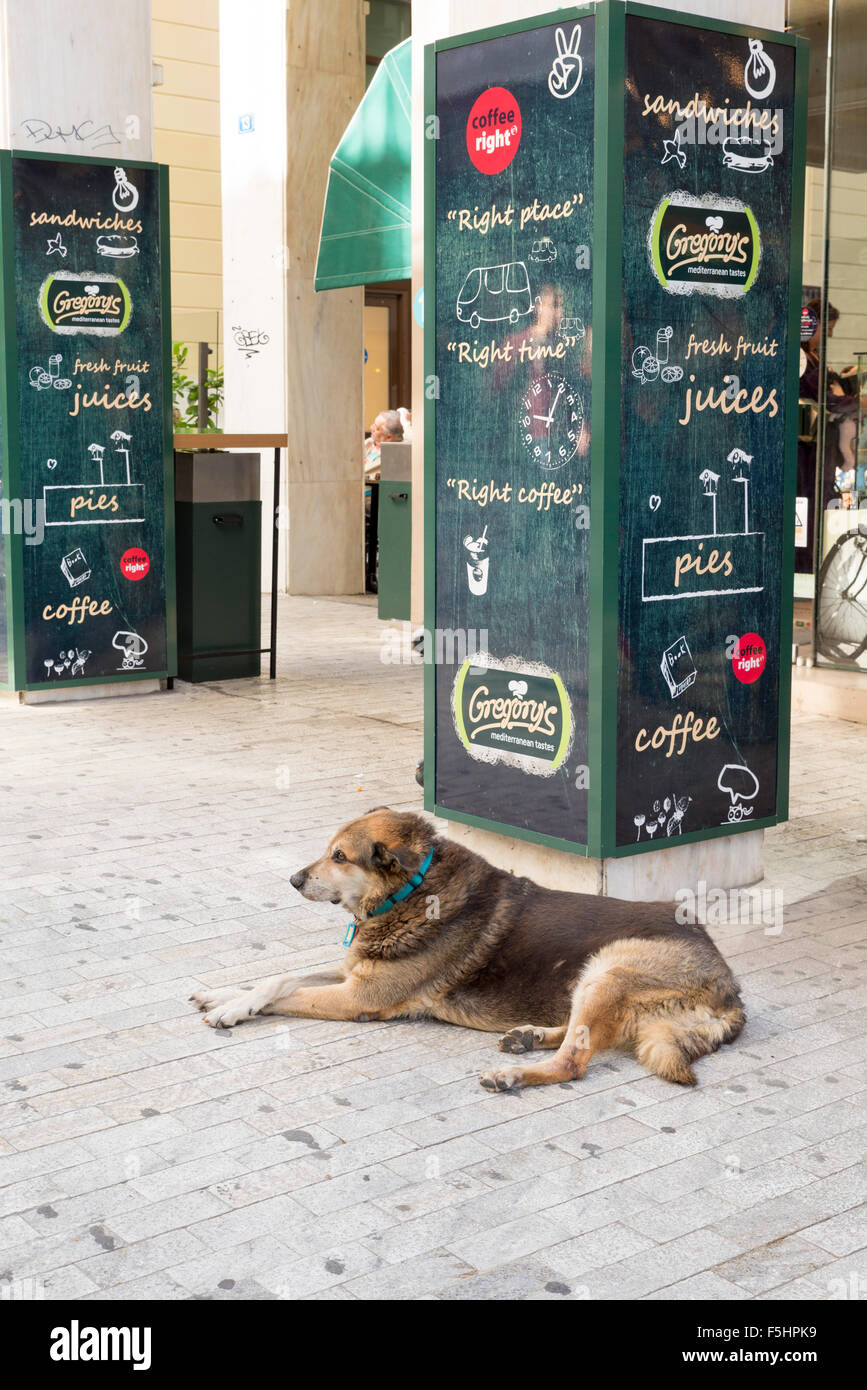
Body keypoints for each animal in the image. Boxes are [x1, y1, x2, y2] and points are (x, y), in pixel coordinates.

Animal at [188, 811, 744, 1089]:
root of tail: (730, 988)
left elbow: (286, 994)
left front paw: (231, 1011)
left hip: (611, 967)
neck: (409, 892)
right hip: (593, 980)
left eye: (339, 857)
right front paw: (226, 996)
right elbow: (278, 977)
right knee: (577, 1036)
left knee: (573, 1062)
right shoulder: (354, 974)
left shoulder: (357, 999)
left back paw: (513, 1073)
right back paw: (527, 1037)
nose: (293, 879)